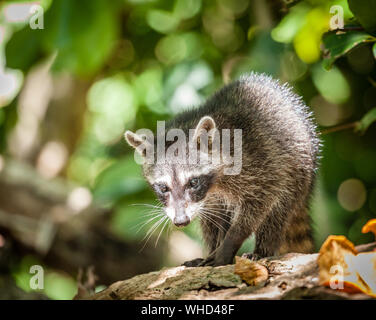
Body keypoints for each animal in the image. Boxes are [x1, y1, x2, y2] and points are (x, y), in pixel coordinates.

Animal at [125, 73, 318, 268]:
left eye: (193, 182)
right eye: (163, 188)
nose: (181, 221)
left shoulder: (259, 165)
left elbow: (259, 203)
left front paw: (229, 244)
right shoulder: (207, 200)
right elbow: (213, 219)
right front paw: (215, 249)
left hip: (296, 172)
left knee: (278, 212)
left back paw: (262, 250)